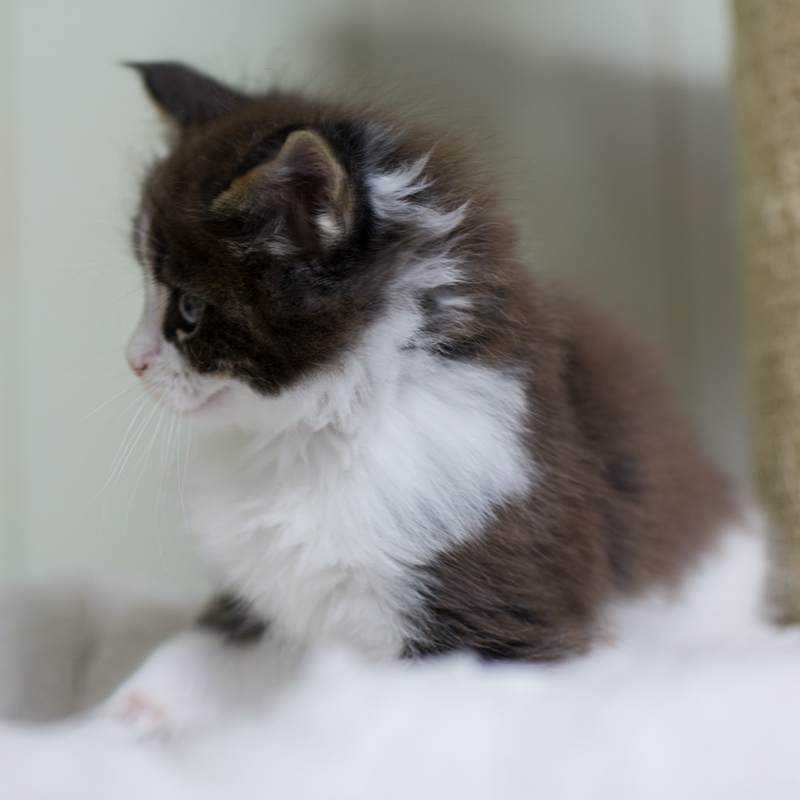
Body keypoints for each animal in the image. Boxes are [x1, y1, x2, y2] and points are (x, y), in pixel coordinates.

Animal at [105, 61, 740, 736]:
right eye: (148, 289)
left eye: (189, 309)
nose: (132, 357)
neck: (312, 440)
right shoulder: (263, 593)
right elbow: (197, 648)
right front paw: (115, 721)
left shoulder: (496, 619)